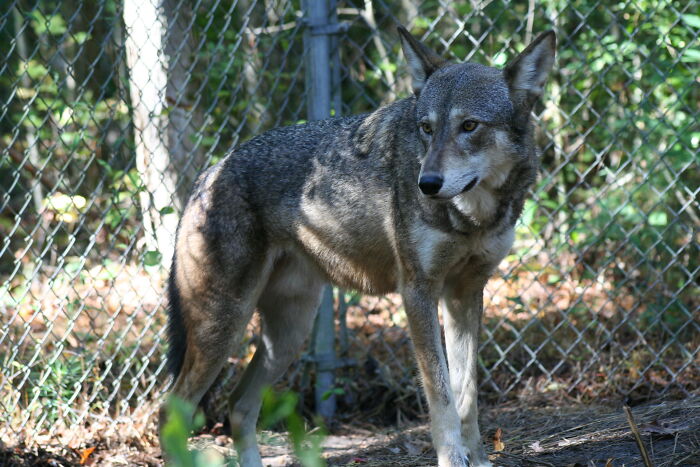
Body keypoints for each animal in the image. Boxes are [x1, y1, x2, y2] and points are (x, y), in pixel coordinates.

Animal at [160, 26, 555, 467]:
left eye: (469, 125)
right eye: (426, 128)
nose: (427, 183)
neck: (472, 217)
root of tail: (208, 173)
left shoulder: (465, 293)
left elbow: (467, 395)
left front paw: (480, 459)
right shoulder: (418, 292)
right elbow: (441, 396)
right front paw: (453, 458)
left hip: (287, 335)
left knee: (238, 406)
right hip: (223, 328)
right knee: (171, 410)